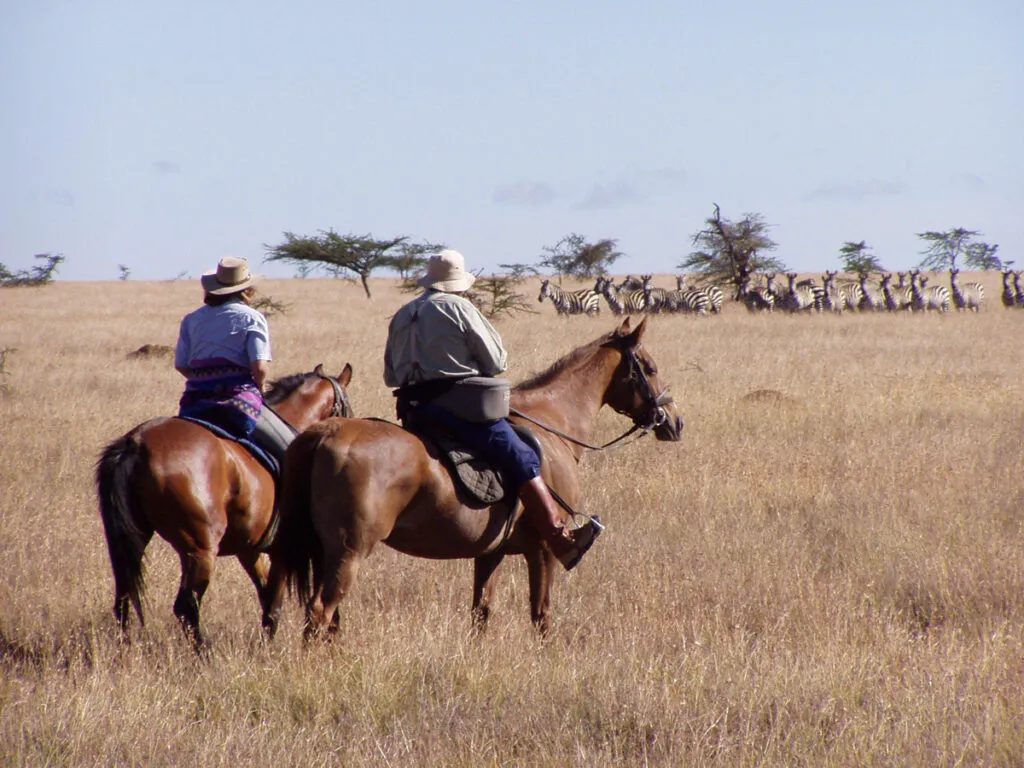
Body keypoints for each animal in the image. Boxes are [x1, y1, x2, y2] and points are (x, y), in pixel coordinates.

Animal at [96, 363, 353, 649]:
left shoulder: (250, 550)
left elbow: (266, 597)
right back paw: (205, 653)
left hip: (132, 541)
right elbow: (277, 602)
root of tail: (136, 443)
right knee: (186, 607)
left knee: (123, 598)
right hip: (200, 550)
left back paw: (124, 649)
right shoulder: (284, 550)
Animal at [272, 317, 683, 639]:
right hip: (349, 552)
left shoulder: (491, 553)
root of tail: (325, 431)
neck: (552, 423)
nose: (674, 421)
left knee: (300, 610)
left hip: (308, 549)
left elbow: (481, 612)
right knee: (320, 611)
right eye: (648, 367)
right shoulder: (544, 551)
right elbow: (541, 613)